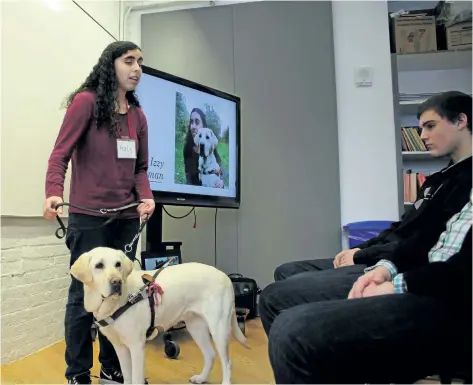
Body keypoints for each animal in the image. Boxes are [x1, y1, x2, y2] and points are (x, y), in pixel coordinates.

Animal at [71, 246, 247, 384]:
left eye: (118, 265)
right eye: (99, 265)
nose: (116, 282)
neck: (114, 303)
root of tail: (226, 277)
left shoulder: (136, 346)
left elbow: (136, 379)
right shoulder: (120, 347)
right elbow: (127, 376)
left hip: (219, 329)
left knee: (227, 363)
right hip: (196, 326)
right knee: (210, 354)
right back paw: (201, 378)